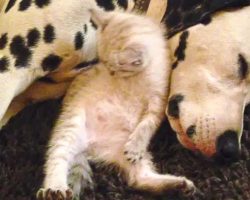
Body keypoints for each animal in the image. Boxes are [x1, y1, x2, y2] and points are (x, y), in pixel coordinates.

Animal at [36, 8, 195, 199]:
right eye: (105, 65)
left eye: (115, 68)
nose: (110, 73)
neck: (138, 77)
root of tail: (91, 146)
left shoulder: (158, 102)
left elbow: (146, 125)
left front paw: (136, 145)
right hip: (70, 127)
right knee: (57, 159)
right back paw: (55, 188)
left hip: (124, 151)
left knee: (138, 179)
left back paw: (179, 186)